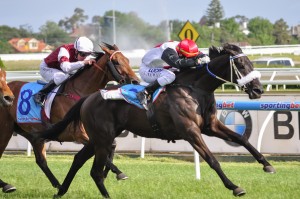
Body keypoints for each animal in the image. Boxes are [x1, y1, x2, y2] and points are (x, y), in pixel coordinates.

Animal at [0, 42, 138, 193]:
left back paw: (58, 185)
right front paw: (118, 172)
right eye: (116, 62)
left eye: (128, 60)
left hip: (32, 134)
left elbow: (112, 145)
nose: (135, 81)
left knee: (41, 161)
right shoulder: (78, 134)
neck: (79, 92)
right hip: (6, 130)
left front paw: (110, 172)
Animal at [37, 43, 274, 197]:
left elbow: (242, 140)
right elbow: (212, 159)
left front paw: (267, 165)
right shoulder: (190, 131)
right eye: (241, 65)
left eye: (250, 62)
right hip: (102, 138)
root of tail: (88, 97)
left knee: (78, 160)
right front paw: (234, 186)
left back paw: (60, 191)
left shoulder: (210, 125)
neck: (196, 88)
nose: (258, 90)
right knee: (95, 171)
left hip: (98, 138)